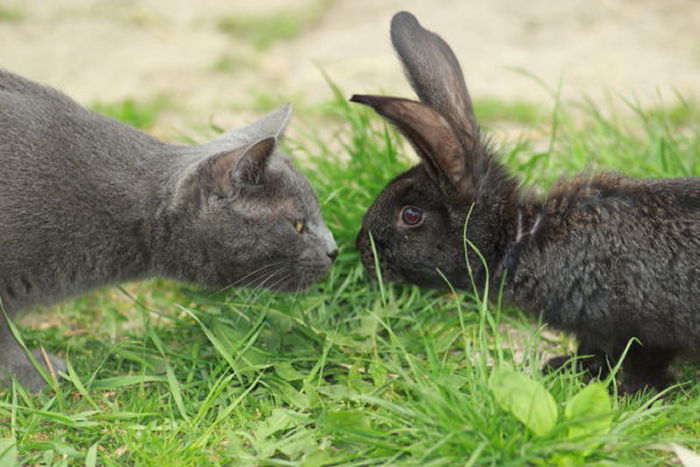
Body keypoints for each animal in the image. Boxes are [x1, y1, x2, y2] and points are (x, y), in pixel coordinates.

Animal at [352, 11, 700, 394]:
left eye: (411, 215)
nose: (361, 249)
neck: (519, 236)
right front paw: (566, 367)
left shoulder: (640, 333)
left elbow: (642, 366)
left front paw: (630, 392)